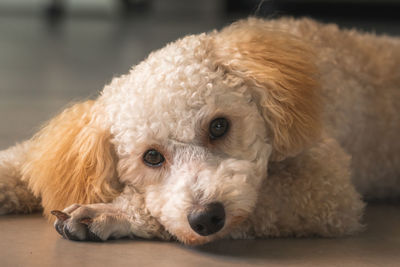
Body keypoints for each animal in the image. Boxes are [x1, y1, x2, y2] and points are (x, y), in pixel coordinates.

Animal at [0, 17, 398, 246]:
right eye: (151, 157)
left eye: (219, 126)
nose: (206, 217)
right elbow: (26, 160)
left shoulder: (326, 189)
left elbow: (259, 205)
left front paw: (110, 213)